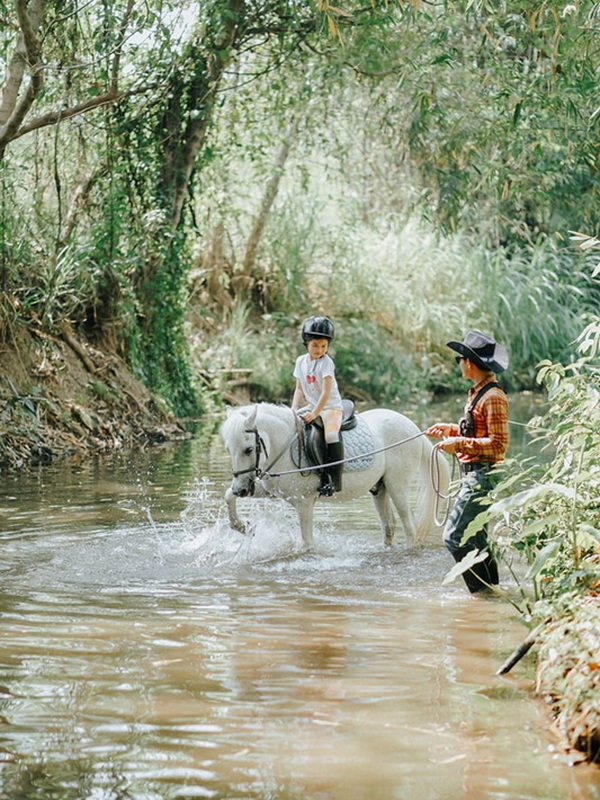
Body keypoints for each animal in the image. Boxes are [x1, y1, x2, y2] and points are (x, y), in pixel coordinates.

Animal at [218, 404, 448, 552]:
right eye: (228, 449)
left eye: (248, 449)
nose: (241, 489)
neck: (282, 446)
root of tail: (413, 427)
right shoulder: (270, 490)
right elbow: (228, 495)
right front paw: (241, 526)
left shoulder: (304, 503)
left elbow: (307, 544)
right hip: (379, 488)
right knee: (389, 526)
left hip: (397, 486)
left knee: (409, 528)